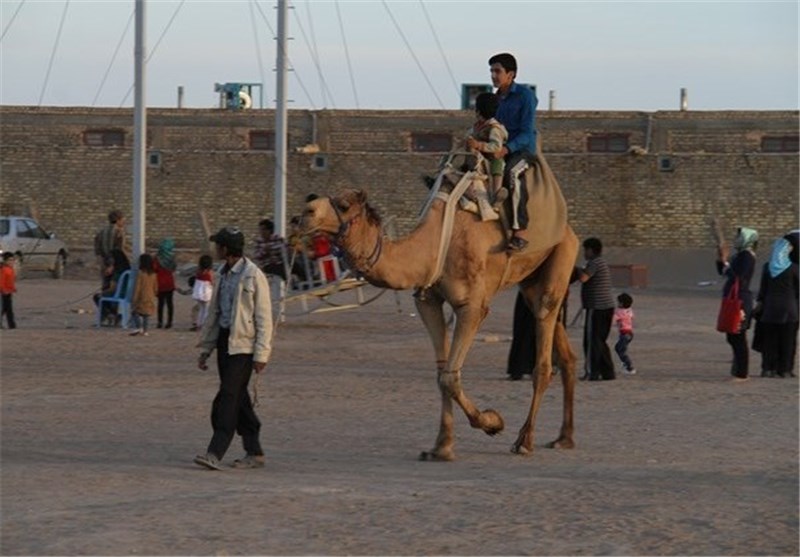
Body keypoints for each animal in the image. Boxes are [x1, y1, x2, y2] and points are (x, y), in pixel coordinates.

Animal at [300, 152, 576, 460]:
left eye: (344, 205)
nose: (304, 212)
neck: (431, 246)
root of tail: (568, 228)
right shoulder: (428, 300)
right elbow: (440, 373)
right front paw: (441, 446)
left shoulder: (473, 306)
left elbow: (450, 378)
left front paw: (493, 422)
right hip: (531, 282)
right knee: (566, 353)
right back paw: (564, 438)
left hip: (560, 257)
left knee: (544, 355)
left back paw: (525, 440)